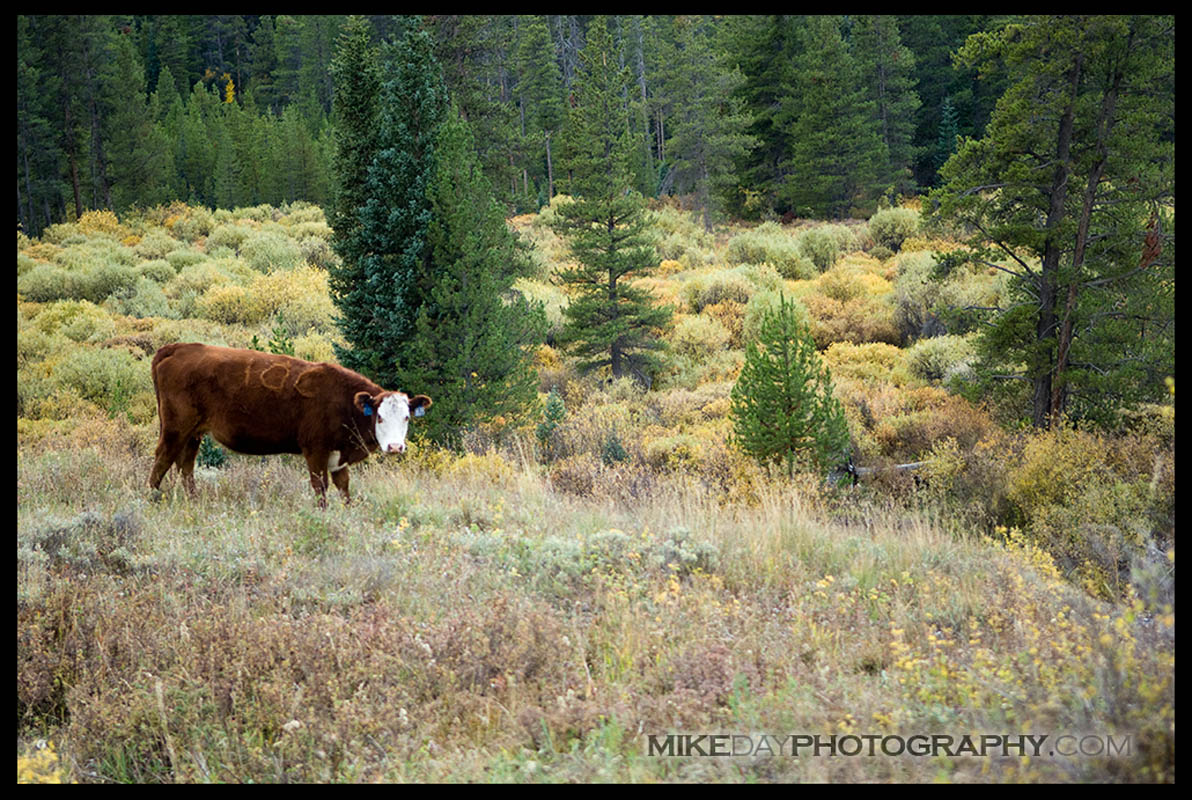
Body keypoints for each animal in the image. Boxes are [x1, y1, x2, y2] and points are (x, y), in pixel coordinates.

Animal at [146, 343, 431, 507]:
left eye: (406, 417)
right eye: (379, 417)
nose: (395, 447)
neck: (344, 400)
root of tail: (177, 347)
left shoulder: (338, 457)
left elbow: (344, 488)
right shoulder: (315, 450)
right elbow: (320, 488)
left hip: (194, 433)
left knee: (185, 465)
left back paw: (193, 500)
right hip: (175, 428)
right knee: (163, 459)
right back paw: (151, 499)